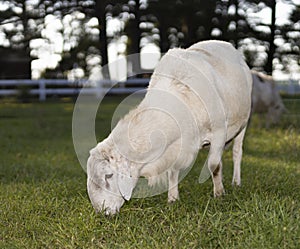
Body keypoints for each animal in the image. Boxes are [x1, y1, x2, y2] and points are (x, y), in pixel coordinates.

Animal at [87, 40, 253, 214]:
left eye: (108, 176)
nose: (100, 211)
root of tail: (224, 43)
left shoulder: (219, 131)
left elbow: (214, 166)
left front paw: (219, 194)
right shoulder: (174, 147)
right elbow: (172, 171)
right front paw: (173, 199)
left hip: (243, 123)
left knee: (237, 153)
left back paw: (236, 182)